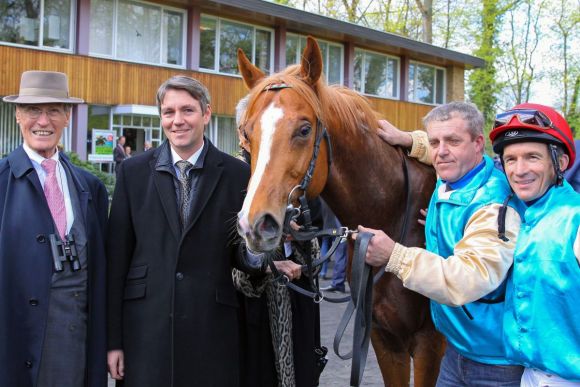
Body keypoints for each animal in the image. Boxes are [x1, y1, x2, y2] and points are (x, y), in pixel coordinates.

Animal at [236, 37, 444, 387]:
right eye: (247, 134)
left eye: (304, 129)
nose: (255, 224)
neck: (391, 216)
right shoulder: (385, 339)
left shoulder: (429, 344)